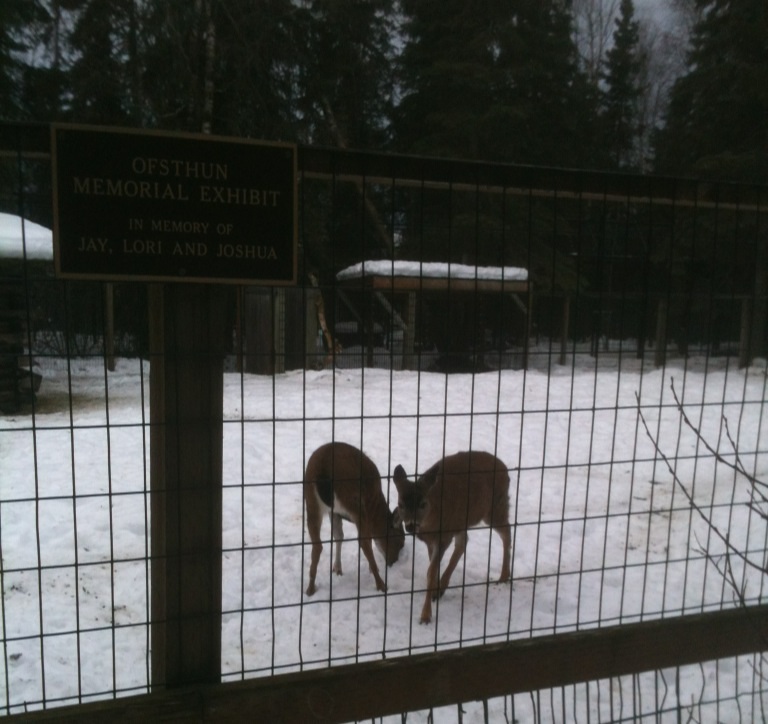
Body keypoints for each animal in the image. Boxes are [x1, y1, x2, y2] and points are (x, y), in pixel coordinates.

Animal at [304, 442, 405, 596]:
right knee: (363, 541)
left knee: (317, 545)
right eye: (400, 541)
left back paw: (310, 589)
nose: (393, 562)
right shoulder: (367, 507)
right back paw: (381, 584)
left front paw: (337, 569)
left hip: (311, 502)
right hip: (353, 501)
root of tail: (323, 469)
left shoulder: (334, 512)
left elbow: (338, 536)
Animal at [393, 451, 511, 624]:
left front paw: (425, 616)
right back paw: (441, 589)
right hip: (463, 520)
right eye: (400, 504)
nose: (410, 526)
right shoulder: (432, 540)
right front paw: (434, 592)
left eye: (423, 504)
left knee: (507, 532)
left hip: (495, 507)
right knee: (464, 542)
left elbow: (431, 572)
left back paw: (503, 577)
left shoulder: (443, 537)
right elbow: (432, 569)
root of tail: (505, 469)